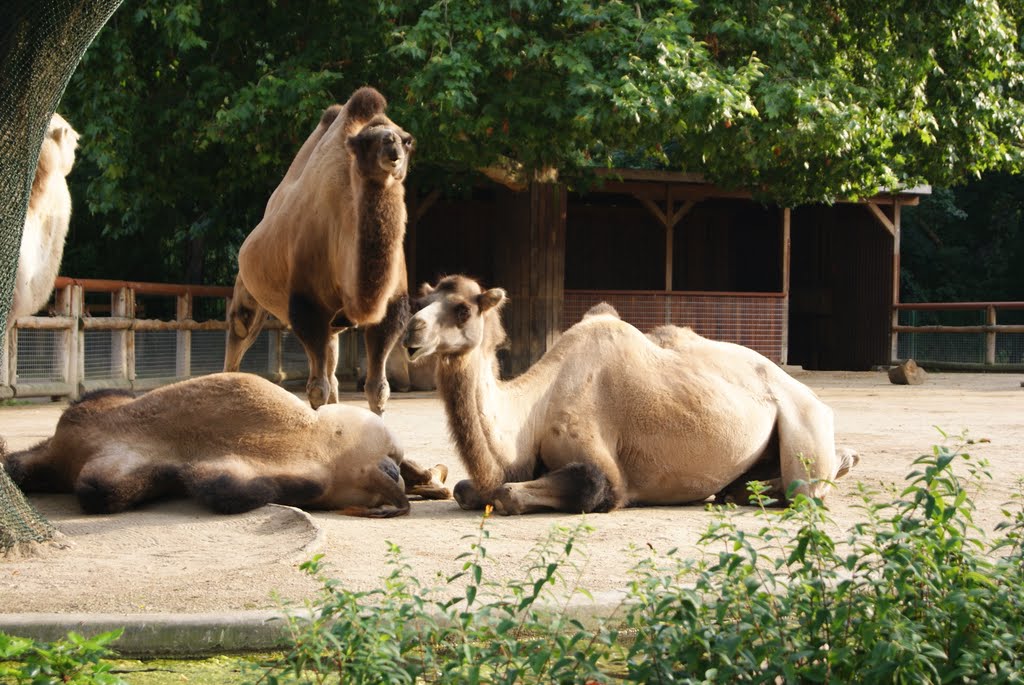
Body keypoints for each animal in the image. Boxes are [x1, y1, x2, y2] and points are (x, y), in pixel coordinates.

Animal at [226, 88, 413, 413]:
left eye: (407, 139)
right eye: (366, 141)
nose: (392, 147)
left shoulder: (391, 306)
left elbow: (378, 388)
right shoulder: (307, 302)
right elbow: (316, 390)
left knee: (334, 368)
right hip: (246, 288)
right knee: (238, 335)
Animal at [403, 272, 860, 511]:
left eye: (462, 309)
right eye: (421, 303)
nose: (411, 331)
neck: (532, 411)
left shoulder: (608, 472)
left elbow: (520, 492)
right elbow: (466, 489)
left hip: (804, 423)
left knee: (806, 487)